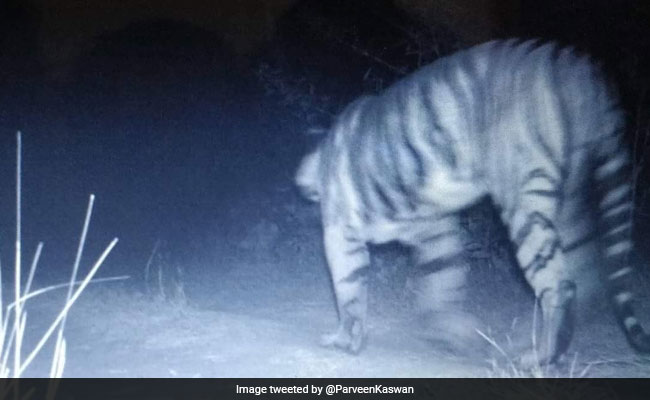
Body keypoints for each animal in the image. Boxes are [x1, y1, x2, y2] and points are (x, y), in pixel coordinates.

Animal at [295, 38, 650, 366]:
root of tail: (579, 67)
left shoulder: (342, 232)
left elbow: (349, 291)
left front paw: (343, 340)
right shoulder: (435, 230)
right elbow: (441, 285)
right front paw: (456, 334)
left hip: (524, 200)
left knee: (560, 281)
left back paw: (539, 356)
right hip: (570, 198)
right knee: (586, 276)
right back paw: (534, 345)